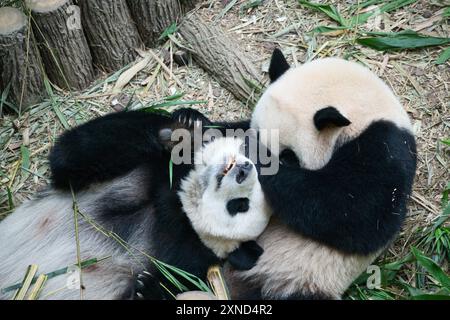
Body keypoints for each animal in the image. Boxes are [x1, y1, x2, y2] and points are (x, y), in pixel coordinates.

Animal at [0, 112, 268, 300]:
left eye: (241, 205)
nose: (242, 171)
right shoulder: (136, 171)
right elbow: (73, 153)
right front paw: (186, 126)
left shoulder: (187, 251)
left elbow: (178, 276)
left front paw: (143, 289)